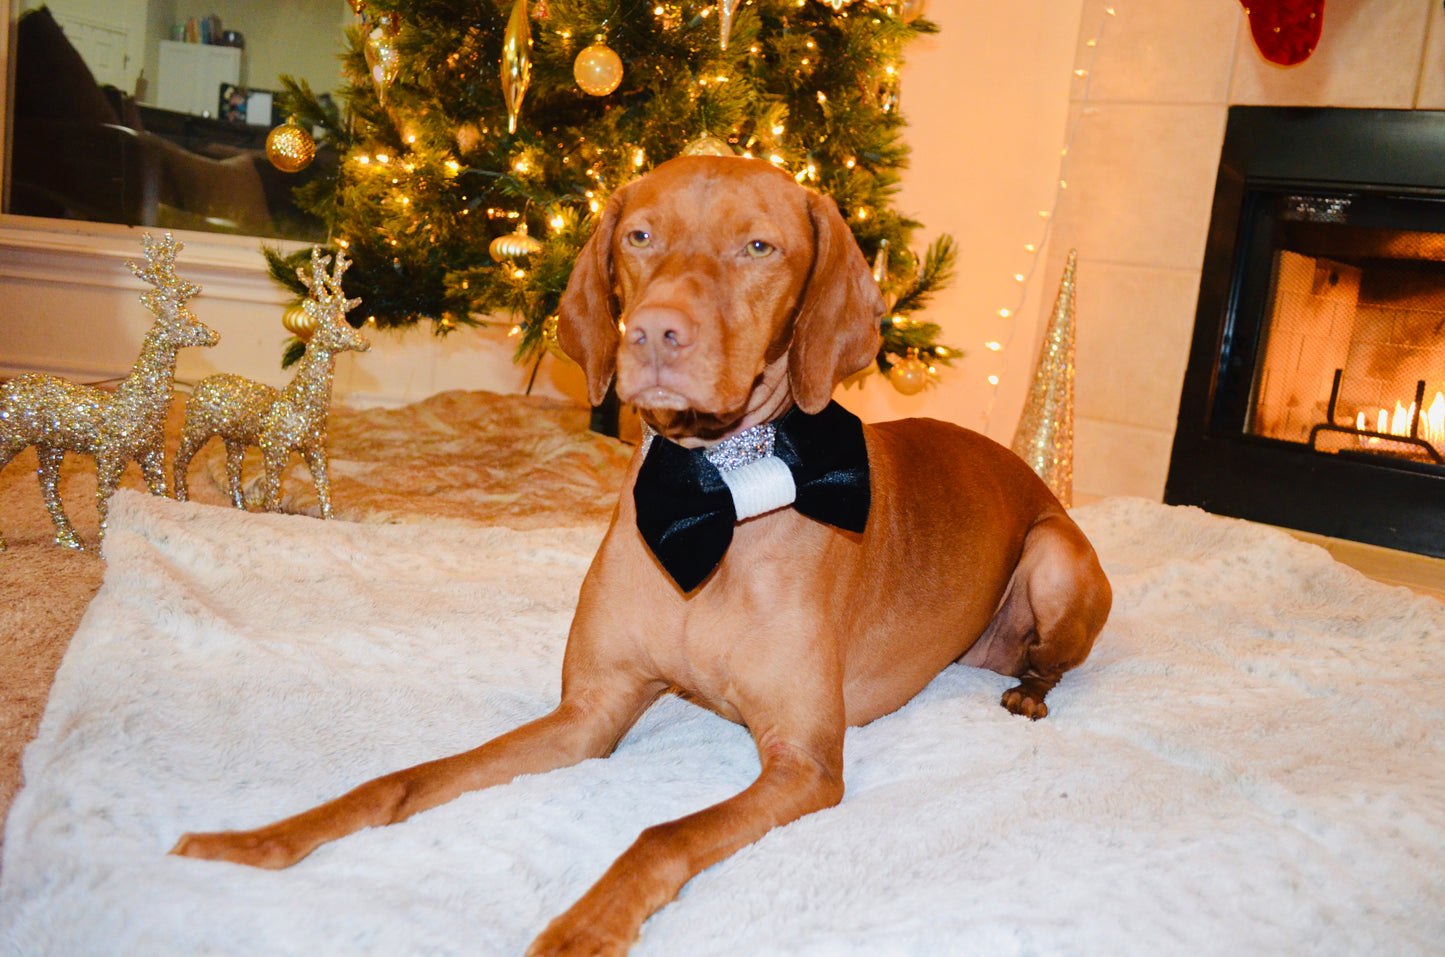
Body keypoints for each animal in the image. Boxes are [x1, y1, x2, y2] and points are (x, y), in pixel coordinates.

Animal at [174, 159, 1109, 957]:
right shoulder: (591, 711)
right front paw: (258, 839)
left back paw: (1029, 690)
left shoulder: (805, 761)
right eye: (640, 236)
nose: (654, 331)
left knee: (1046, 656)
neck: (718, 492)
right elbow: (401, 782)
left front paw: (582, 926)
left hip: (1055, 558)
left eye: (758, 246)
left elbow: (661, 834)